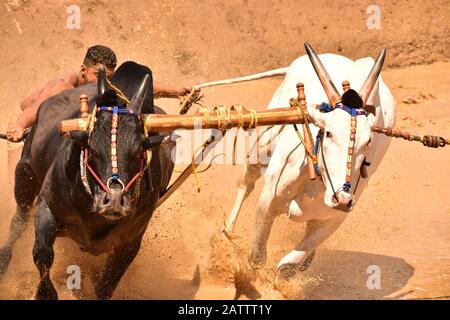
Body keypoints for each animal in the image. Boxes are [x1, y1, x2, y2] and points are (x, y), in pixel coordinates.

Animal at [0, 61, 175, 298]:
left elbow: (106, 286)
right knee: (18, 221)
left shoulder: (130, 242)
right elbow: (42, 255)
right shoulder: (47, 206)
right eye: (91, 148)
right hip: (25, 173)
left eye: (140, 150)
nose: (114, 201)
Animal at [223, 43, 396, 278]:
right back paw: (227, 232)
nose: (342, 199)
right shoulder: (268, 199)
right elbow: (258, 257)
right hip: (261, 148)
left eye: (368, 141)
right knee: (245, 184)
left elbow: (288, 264)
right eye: (329, 133)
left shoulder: (334, 220)